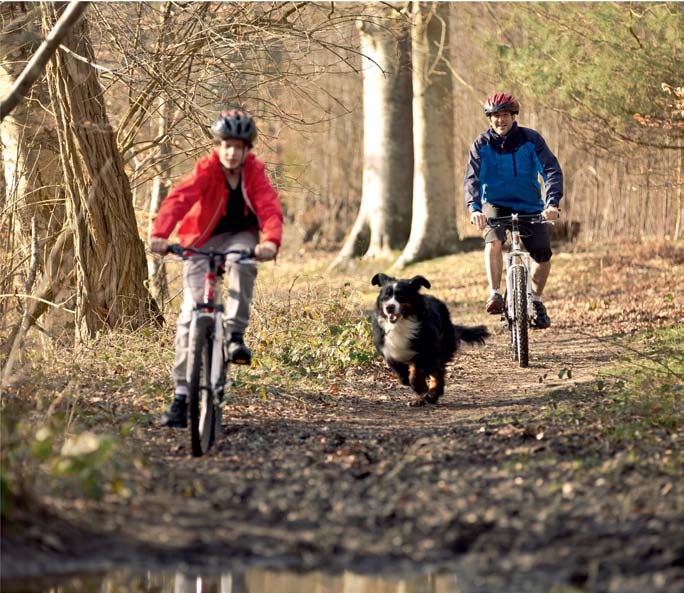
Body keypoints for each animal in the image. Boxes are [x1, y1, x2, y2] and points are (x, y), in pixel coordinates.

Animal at [372, 274, 488, 408]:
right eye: (386, 296)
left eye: (401, 296)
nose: (389, 307)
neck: (401, 324)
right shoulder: (388, 350)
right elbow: (401, 373)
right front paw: (415, 386)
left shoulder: (425, 348)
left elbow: (416, 373)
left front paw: (422, 387)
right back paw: (420, 399)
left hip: (441, 346)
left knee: (437, 372)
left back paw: (432, 394)